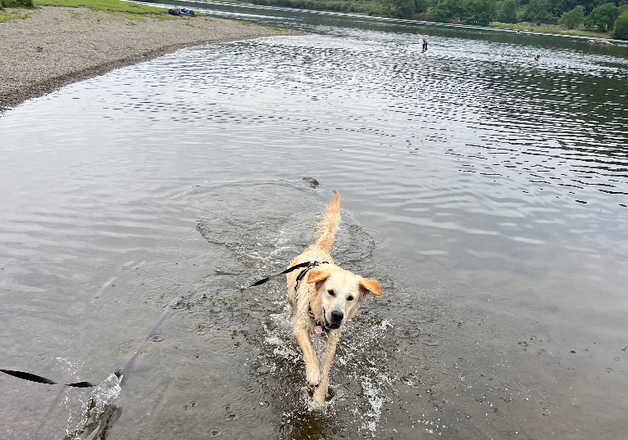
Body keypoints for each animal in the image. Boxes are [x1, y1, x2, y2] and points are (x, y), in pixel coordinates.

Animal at [286, 191, 382, 404]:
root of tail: (318, 248)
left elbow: (327, 366)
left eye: (350, 298)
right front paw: (313, 372)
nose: (338, 315)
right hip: (290, 296)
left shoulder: (333, 339)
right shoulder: (301, 327)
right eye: (330, 292)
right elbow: (309, 350)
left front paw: (320, 394)